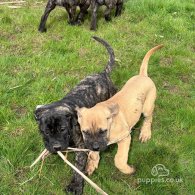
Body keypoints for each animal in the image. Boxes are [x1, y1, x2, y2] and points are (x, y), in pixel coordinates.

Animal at [34, 36, 117, 193]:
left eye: (62, 129)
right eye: (46, 132)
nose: (56, 147)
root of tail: (103, 74)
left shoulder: (80, 147)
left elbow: (78, 167)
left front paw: (75, 185)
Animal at [76, 45, 163, 174]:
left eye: (103, 131)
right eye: (85, 132)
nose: (95, 147)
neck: (111, 123)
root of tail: (143, 75)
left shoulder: (125, 137)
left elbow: (119, 159)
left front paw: (128, 169)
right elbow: (92, 154)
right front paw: (92, 162)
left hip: (147, 107)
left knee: (149, 118)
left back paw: (145, 133)